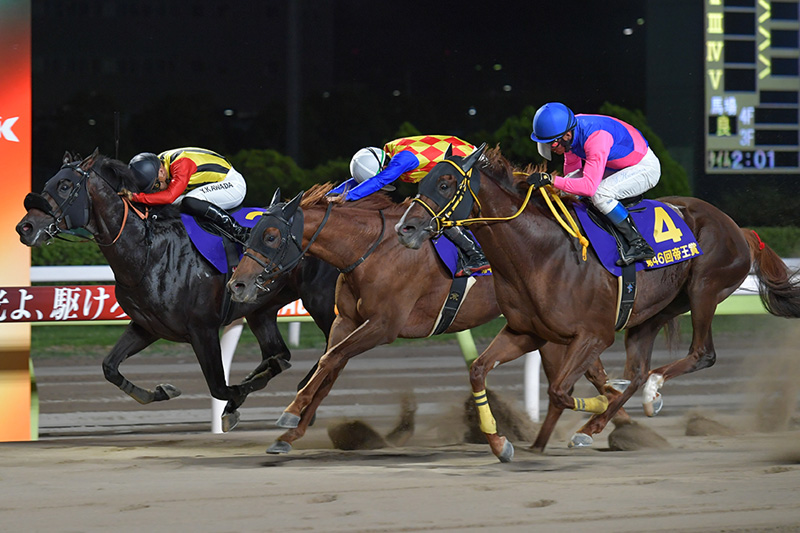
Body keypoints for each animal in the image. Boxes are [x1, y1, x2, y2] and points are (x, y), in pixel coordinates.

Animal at [18, 148, 338, 430]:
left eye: (64, 185)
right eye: (47, 183)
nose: (25, 227)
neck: (147, 252)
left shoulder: (202, 329)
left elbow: (221, 388)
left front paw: (234, 404)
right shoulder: (147, 326)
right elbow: (110, 367)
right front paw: (162, 391)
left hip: (321, 301)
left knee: (330, 349)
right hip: (261, 309)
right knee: (281, 353)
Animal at [227, 184, 632, 458]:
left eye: (271, 235)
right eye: (250, 232)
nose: (237, 284)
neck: (369, 249)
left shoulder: (384, 325)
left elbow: (328, 361)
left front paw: (288, 416)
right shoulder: (347, 321)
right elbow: (328, 370)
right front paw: (288, 434)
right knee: (589, 371)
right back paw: (609, 425)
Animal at [396, 143, 800, 460]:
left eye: (445, 184)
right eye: (421, 182)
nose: (405, 229)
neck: (541, 252)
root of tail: (739, 229)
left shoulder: (594, 334)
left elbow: (561, 391)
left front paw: (603, 401)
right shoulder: (526, 332)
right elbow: (479, 370)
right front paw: (500, 443)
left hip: (705, 289)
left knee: (701, 354)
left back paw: (648, 394)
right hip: (651, 312)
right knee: (638, 371)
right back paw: (609, 415)